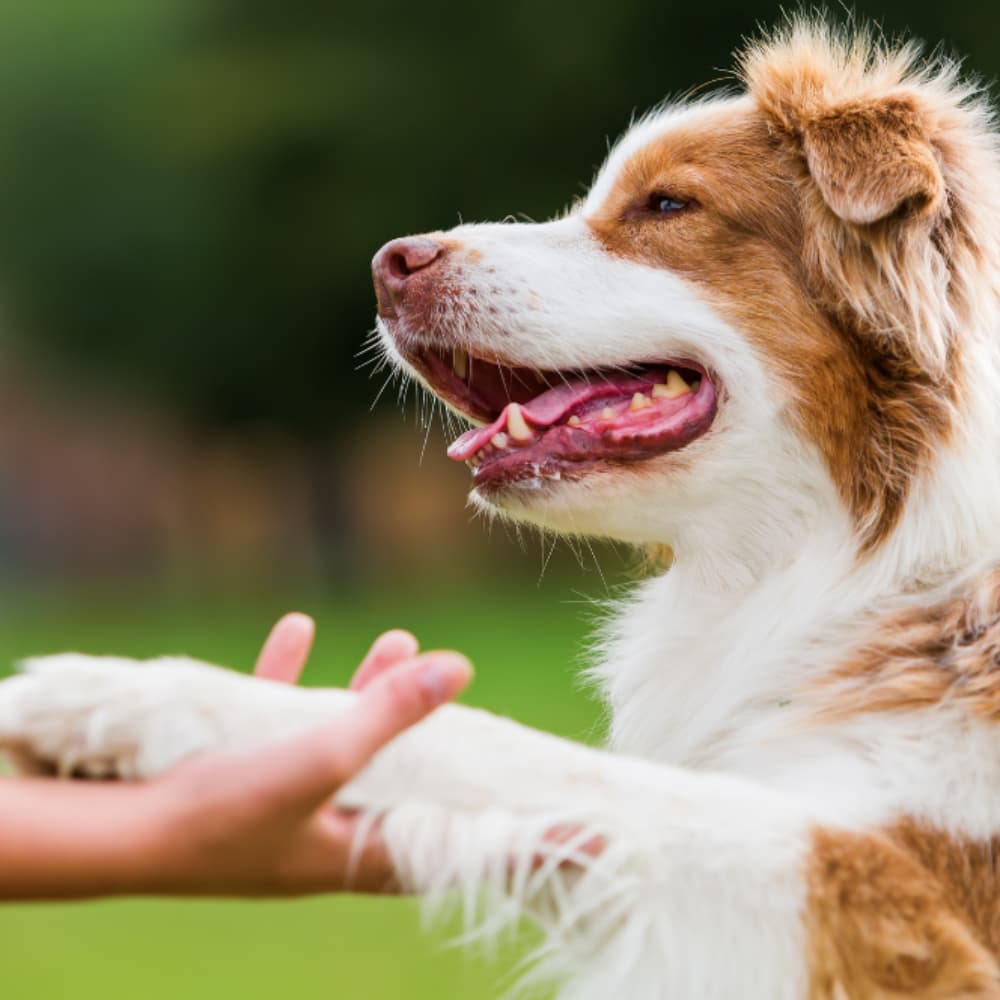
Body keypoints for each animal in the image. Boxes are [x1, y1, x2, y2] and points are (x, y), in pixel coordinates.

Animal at [1, 17, 1000, 1000]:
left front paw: (131, 695)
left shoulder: (892, 904)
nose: (390, 265)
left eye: (667, 206)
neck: (855, 550)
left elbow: (521, 754)